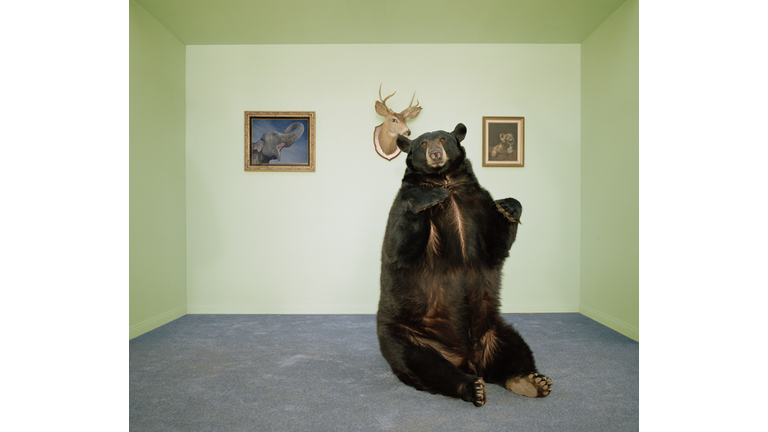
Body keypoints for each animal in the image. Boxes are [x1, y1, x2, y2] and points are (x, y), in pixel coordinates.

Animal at [376, 123, 548, 406]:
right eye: (423, 144)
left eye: (443, 139)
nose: (436, 154)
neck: (447, 182)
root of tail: (469, 360)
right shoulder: (402, 209)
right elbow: (399, 247)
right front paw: (429, 197)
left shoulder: (478, 207)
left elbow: (497, 246)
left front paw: (509, 205)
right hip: (405, 337)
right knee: (425, 365)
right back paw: (471, 387)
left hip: (494, 329)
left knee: (516, 350)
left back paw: (530, 381)